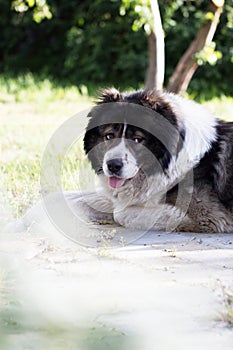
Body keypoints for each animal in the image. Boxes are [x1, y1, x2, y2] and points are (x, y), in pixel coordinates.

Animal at [7, 88, 233, 235]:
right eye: (109, 136)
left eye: (138, 139)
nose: (113, 166)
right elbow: (60, 198)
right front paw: (20, 223)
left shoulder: (210, 215)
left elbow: (121, 214)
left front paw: (176, 217)